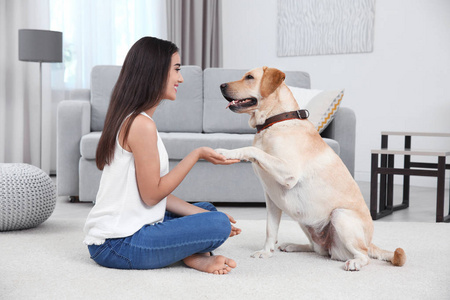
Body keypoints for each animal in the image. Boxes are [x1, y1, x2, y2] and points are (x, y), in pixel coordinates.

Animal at [216, 67, 406, 270]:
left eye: (249, 77)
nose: (221, 85)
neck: (274, 121)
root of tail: (369, 242)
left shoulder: (288, 171)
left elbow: (252, 150)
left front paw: (226, 152)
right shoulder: (272, 199)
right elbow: (270, 230)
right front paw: (266, 252)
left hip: (339, 216)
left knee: (363, 255)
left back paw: (355, 262)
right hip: (305, 221)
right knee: (318, 249)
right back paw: (292, 246)